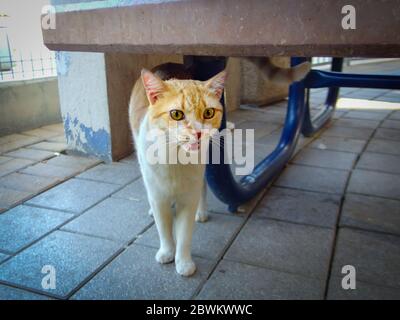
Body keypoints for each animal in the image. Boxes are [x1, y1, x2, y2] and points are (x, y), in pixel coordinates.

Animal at [130, 57, 310, 276]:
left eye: (208, 113)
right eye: (176, 114)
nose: (198, 133)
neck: (176, 160)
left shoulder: (189, 197)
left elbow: (184, 234)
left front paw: (184, 262)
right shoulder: (158, 197)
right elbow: (164, 230)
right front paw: (166, 252)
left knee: (203, 187)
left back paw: (201, 213)